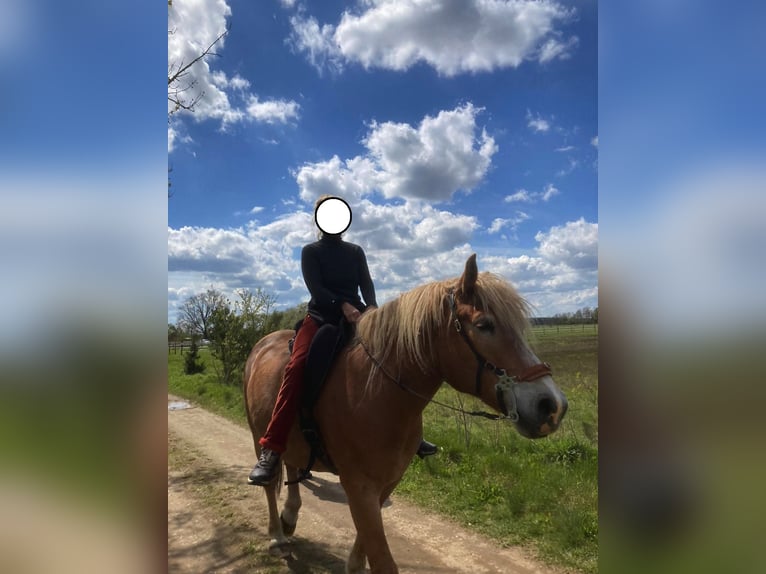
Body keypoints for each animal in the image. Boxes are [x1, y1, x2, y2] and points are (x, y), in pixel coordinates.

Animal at [243, 254, 568, 573]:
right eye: (484, 325)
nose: (552, 406)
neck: (375, 392)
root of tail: (263, 343)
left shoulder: (387, 483)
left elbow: (365, 548)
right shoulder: (359, 486)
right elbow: (383, 560)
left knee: (292, 464)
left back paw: (289, 517)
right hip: (258, 434)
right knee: (270, 482)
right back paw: (276, 535)